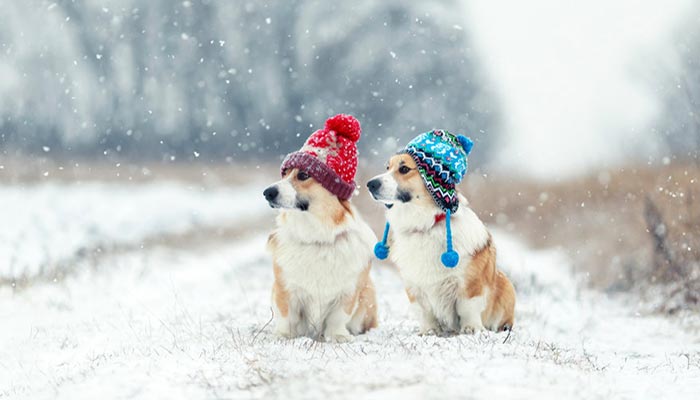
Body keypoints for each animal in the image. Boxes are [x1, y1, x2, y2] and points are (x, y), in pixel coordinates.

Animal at [262, 114, 378, 342]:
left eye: (303, 175)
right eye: (285, 174)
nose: (267, 192)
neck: (317, 236)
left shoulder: (348, 291)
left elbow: (338, 317)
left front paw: (338, 337)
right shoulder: (285, 288)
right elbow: (286, 316)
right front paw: (283, 335)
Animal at [366, 131, 516, 334]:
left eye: (404, 169)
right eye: (387, 167)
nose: (370, 184)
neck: (427, 224)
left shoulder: (470, 284)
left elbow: (467, 307)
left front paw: (471, 329)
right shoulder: (414, 287)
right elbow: (425, 311)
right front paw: (428, 331)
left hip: (506, 285)